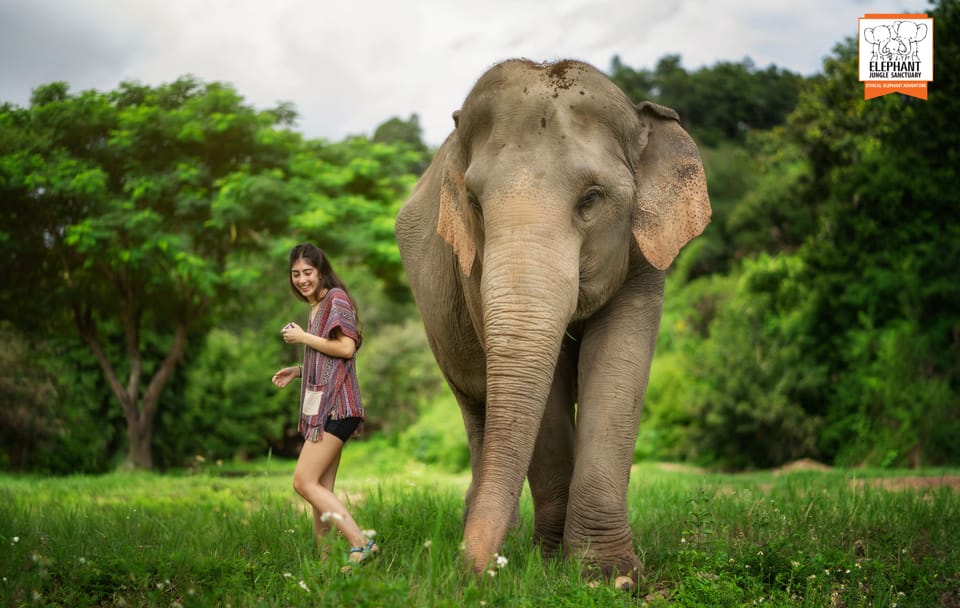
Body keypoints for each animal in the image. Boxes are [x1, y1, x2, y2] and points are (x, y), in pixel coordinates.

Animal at [395, 58, 711, 581]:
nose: (468, 573)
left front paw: (609, 576)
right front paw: (550, 562)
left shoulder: (645, 257)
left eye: (592, 198)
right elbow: (549, 383)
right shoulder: (472, 269)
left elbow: (619, 363)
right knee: (476, 406)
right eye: (474, 203)